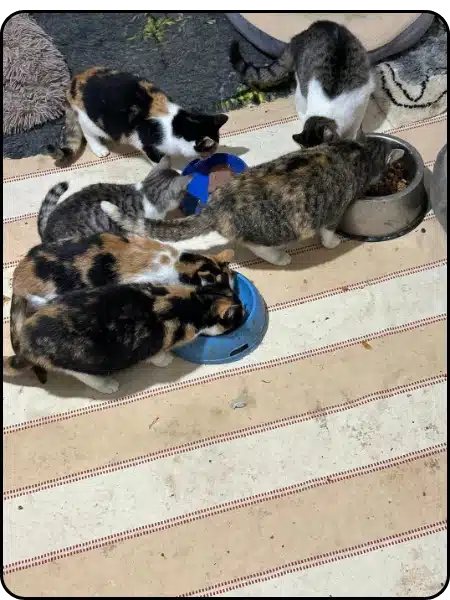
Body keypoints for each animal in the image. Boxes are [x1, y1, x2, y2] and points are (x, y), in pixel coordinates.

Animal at [4, 281, 244, 394]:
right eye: (239, 316)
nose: (246, 314)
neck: (197, 302)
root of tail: (26, 344)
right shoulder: (156, 342)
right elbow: (156, 355)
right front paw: (165, 360)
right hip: (79, 359)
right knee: (82, 374)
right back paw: (107, 385)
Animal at [46, 66, 229, 166]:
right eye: (212, 148)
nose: (211, 156)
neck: (175, 124)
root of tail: (73, 82)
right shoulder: (149, 146)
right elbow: (161, 162)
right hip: (91, 121)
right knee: (87, 132)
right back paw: (99, 148)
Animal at [101, 136, 404, 266]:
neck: (358, 150)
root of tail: (216, 206)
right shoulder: (334, 210)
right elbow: (329, 231)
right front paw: (333, 242)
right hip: (275, 230)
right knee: (256, 246)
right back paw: (280, 258)